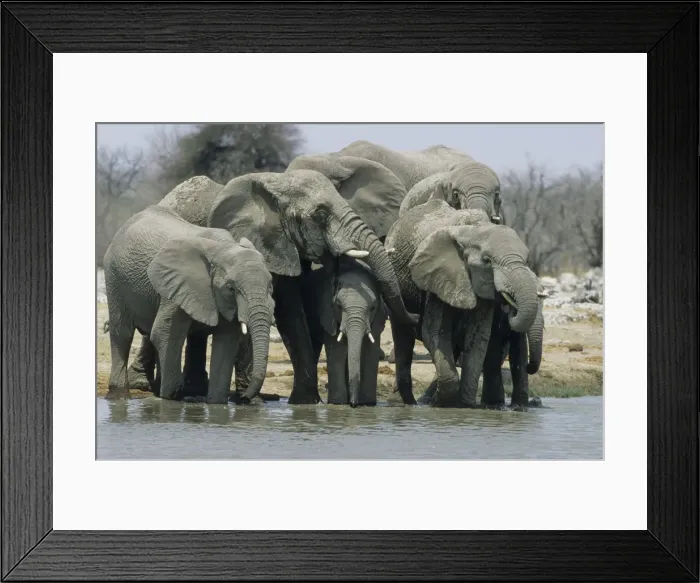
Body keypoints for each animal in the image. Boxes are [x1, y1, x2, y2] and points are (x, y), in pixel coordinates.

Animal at [103, 205, 275, 404]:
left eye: (271, 286)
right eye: (231, 288)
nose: (245, 399)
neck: (222, 248)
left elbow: (226, 343)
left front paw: (217, 405)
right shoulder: (177, 286)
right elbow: (164, 332)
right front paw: (172, 398)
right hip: (114, 277)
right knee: (122, 334)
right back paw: (121, 396)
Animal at [205, 168, 419, 405]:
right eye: (321, 214)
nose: (416, 316)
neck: (276, 182)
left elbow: (289, 312)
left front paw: (305, 401)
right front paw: (255, 401)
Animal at [384, 199, 542, 407]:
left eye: (526, 260)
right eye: (487, 260)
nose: (510, 306)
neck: (474, 230)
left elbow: (478, 338)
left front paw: (466, 405)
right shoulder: (437, 277)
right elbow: (435, 332)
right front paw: (445, 403)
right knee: (403, 337)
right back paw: (403, 403)